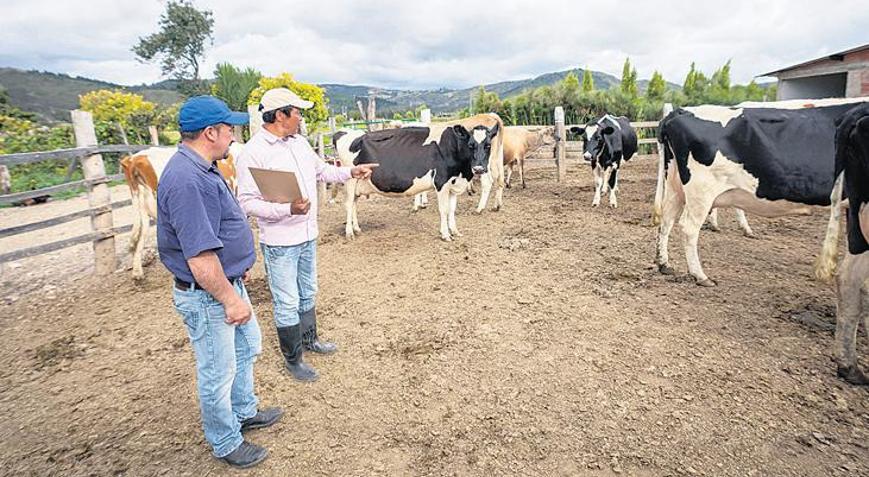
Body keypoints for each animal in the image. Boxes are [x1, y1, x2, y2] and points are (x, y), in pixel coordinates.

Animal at [338, 113, 506, 240]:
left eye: (488, 145)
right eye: (470, 145)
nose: (478, 168)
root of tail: (349, 134)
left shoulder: (454, 183)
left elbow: (452, 210)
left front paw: (454, 231)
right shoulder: (441, 182)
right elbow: (444, 210)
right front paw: (445, 234)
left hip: (358, 182)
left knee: (353, 203)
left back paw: (357, 228)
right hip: (350, 180)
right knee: (348, 204)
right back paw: (349, 233)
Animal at [656, 99, 864, 286]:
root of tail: (679, 112)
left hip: (675, 185)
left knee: (667, 220)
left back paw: (664, 264)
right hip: (701, 191)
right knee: (688, 228)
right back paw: (700, 275)